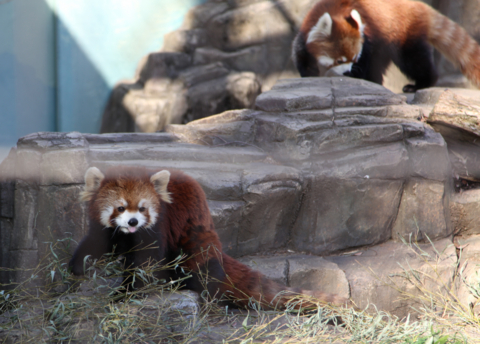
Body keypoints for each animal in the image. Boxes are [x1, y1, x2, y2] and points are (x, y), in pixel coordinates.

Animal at [68, 166, 344, 310]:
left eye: (143, 208)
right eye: (121, 208)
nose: (133, 222)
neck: (128, 236)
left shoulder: (158, 229)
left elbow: (145, 265)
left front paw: (125, 292)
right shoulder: (105, 230)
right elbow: (93, 244)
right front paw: (76, 267)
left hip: (196, 239)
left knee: (199, 265)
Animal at [292, 0, 480, 92]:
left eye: (354, 59)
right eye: (339, 61)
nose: (347, 72)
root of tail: (417, 4)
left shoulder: (368, 40)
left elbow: (365, 63)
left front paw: (356, 78)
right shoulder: (304, 34)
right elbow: (302, 57)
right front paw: (309, 75)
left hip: (403, 34)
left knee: (414, 61)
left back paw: (420, 84)